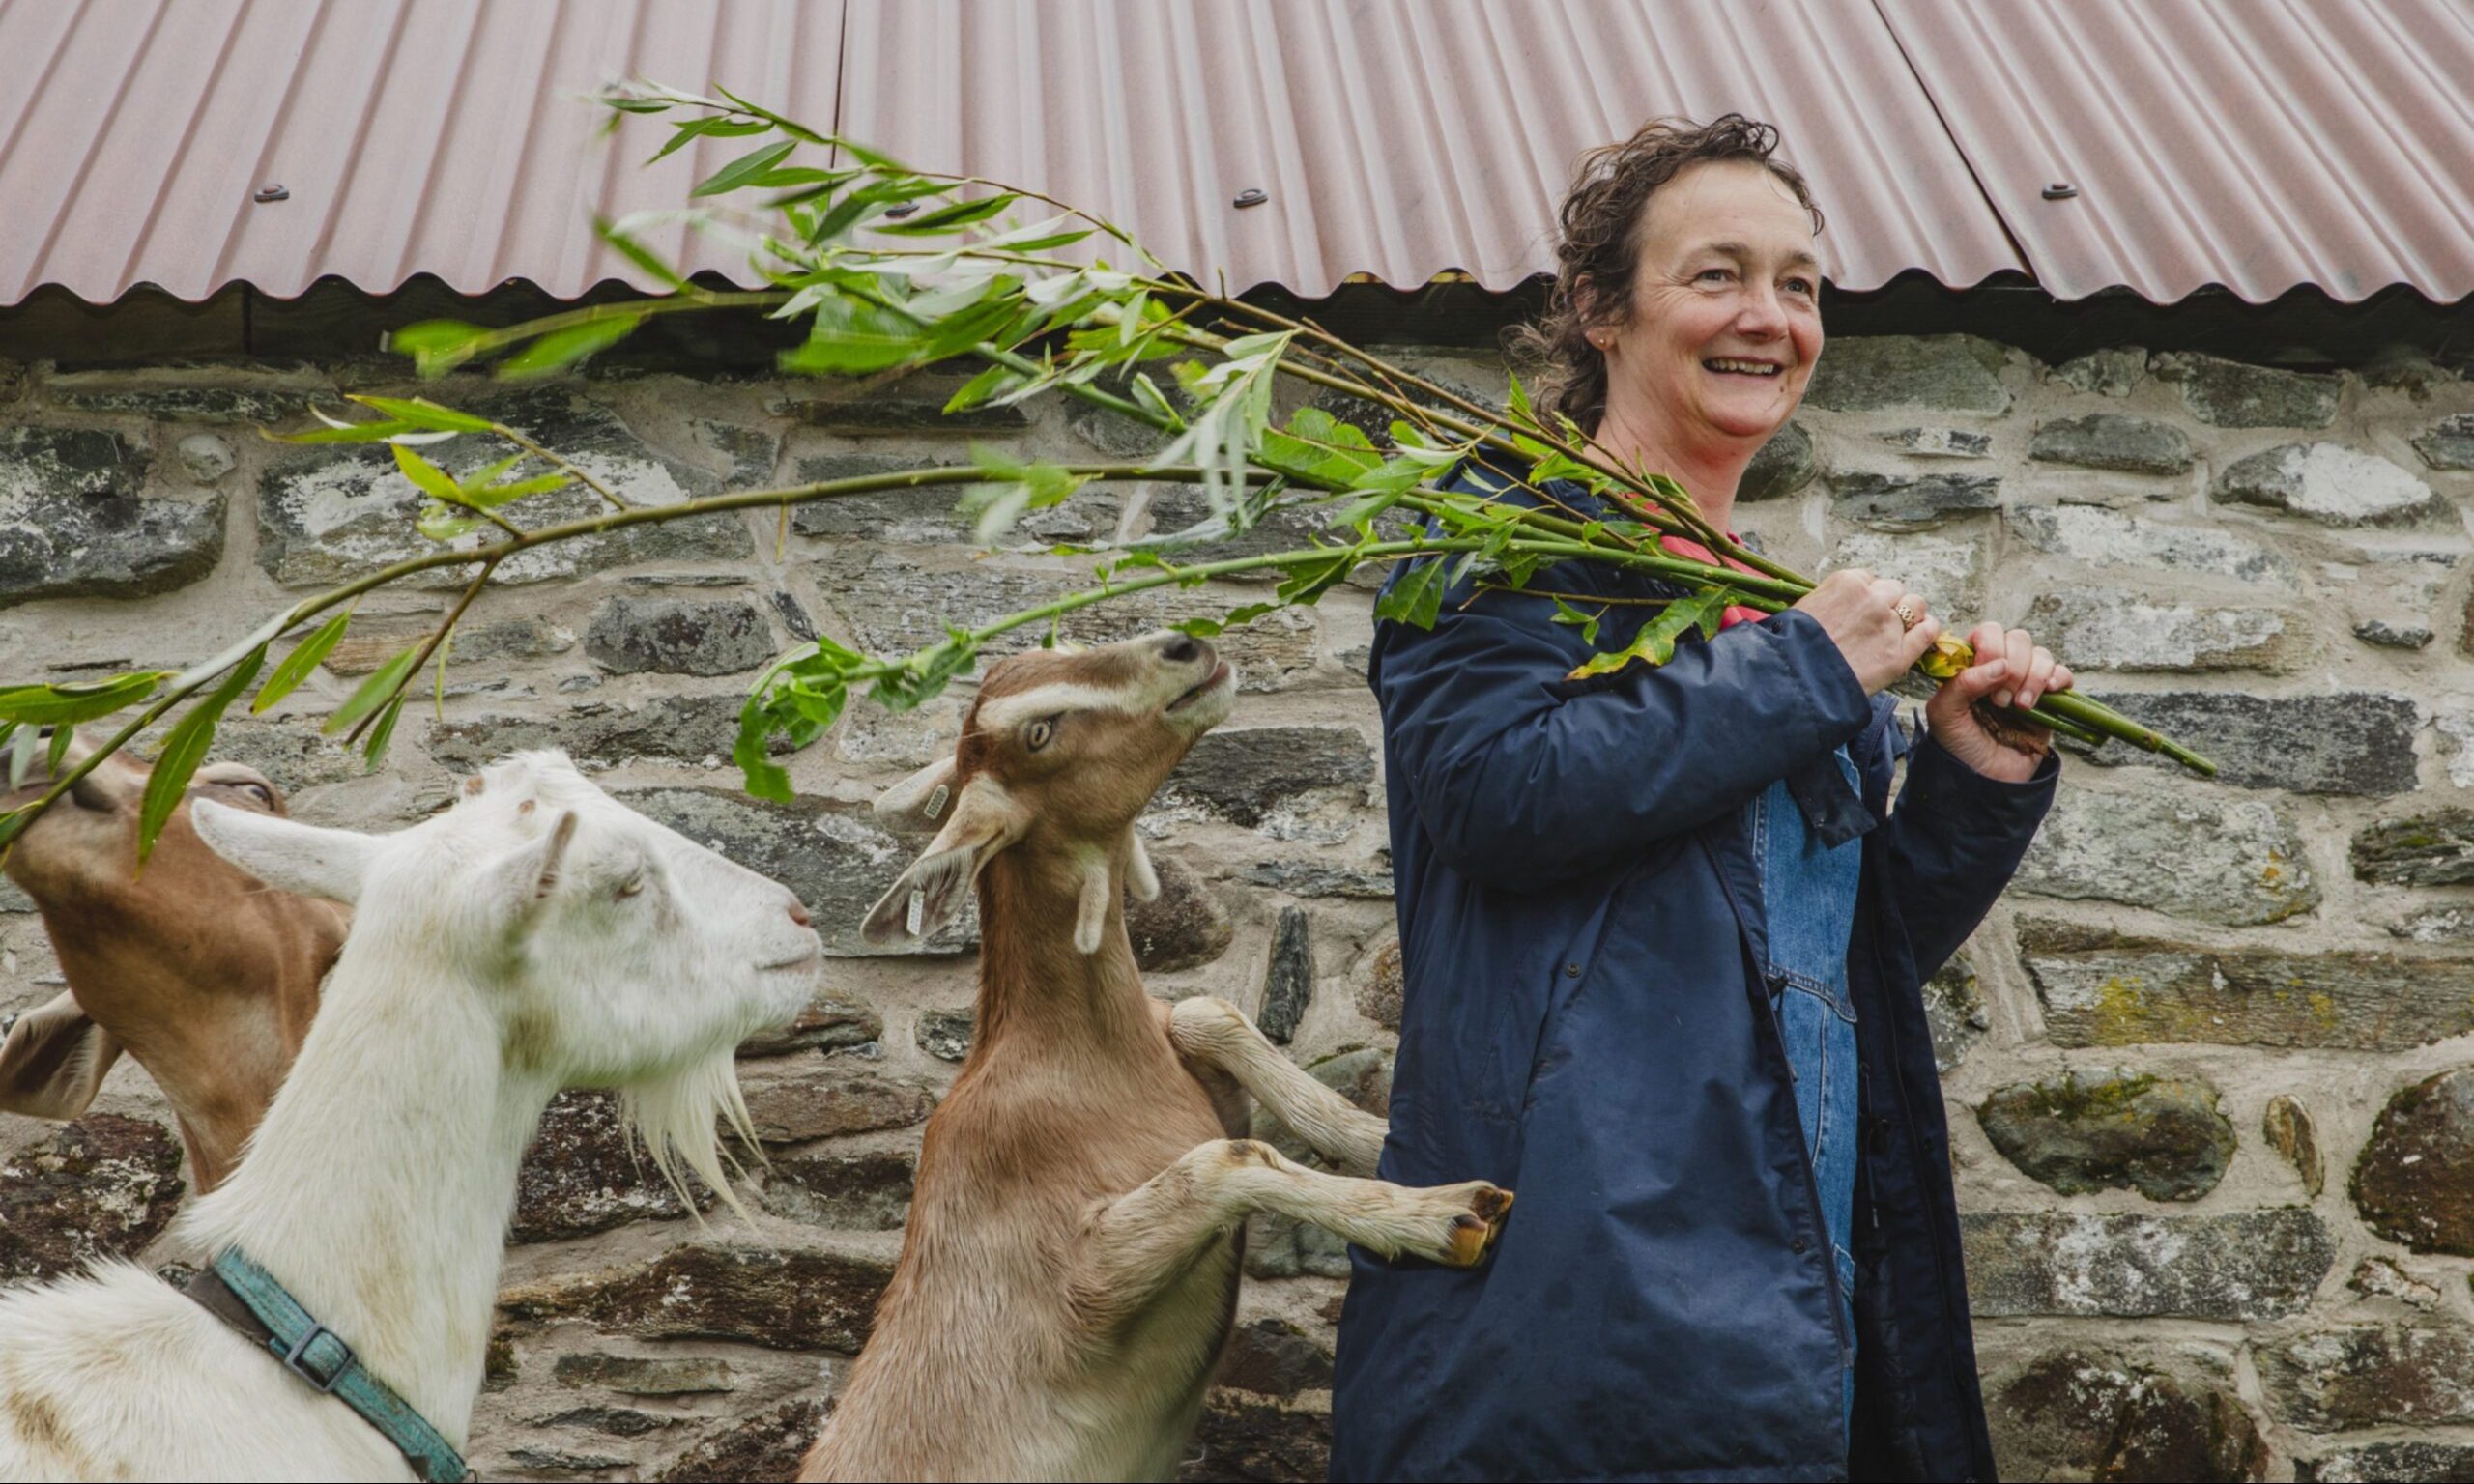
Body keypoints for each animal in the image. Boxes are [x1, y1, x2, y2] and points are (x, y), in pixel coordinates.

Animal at [811, 630, 1504, 1473]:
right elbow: (1225, 1161)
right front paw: (1443, 1213)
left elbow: (1206, 1013)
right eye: (1039, 732)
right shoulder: (1077, 1287)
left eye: (1062, 645)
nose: (1185, 645)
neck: (1082, 1067)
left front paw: (1379, 1138)